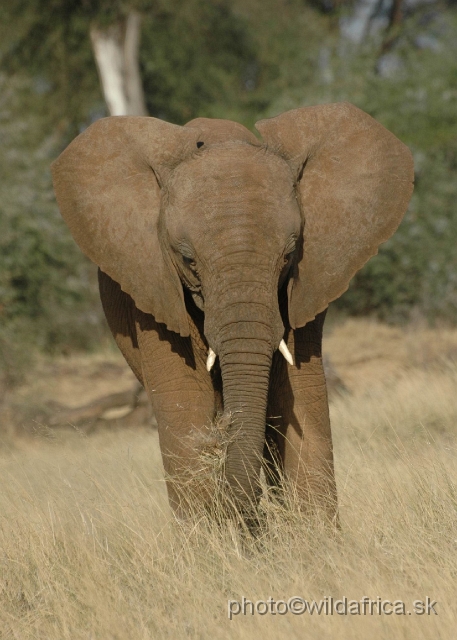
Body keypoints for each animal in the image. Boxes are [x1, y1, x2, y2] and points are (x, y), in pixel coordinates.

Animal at [50, 102, 414, 524]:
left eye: (289, 256)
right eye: (188, 260)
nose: (223, 430)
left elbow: (301, 399)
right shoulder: (152, 289)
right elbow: (184, 404)